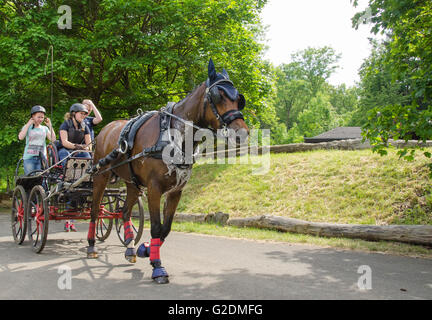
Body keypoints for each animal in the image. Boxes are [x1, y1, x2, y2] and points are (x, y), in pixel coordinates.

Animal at [86, 59, 248, 282]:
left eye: (238, 99)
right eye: (219, 96)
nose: (243, 132)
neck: (172, 136)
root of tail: (106, 129)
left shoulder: (176, 191)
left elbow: (166, 228)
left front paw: (146, 249)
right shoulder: (154, 189)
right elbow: (155, 227)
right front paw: (157, 266)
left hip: (132, 183)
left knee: (125, 212)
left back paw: (130, 248)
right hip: (100, 177)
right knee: (94, 211)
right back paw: (92, 246)